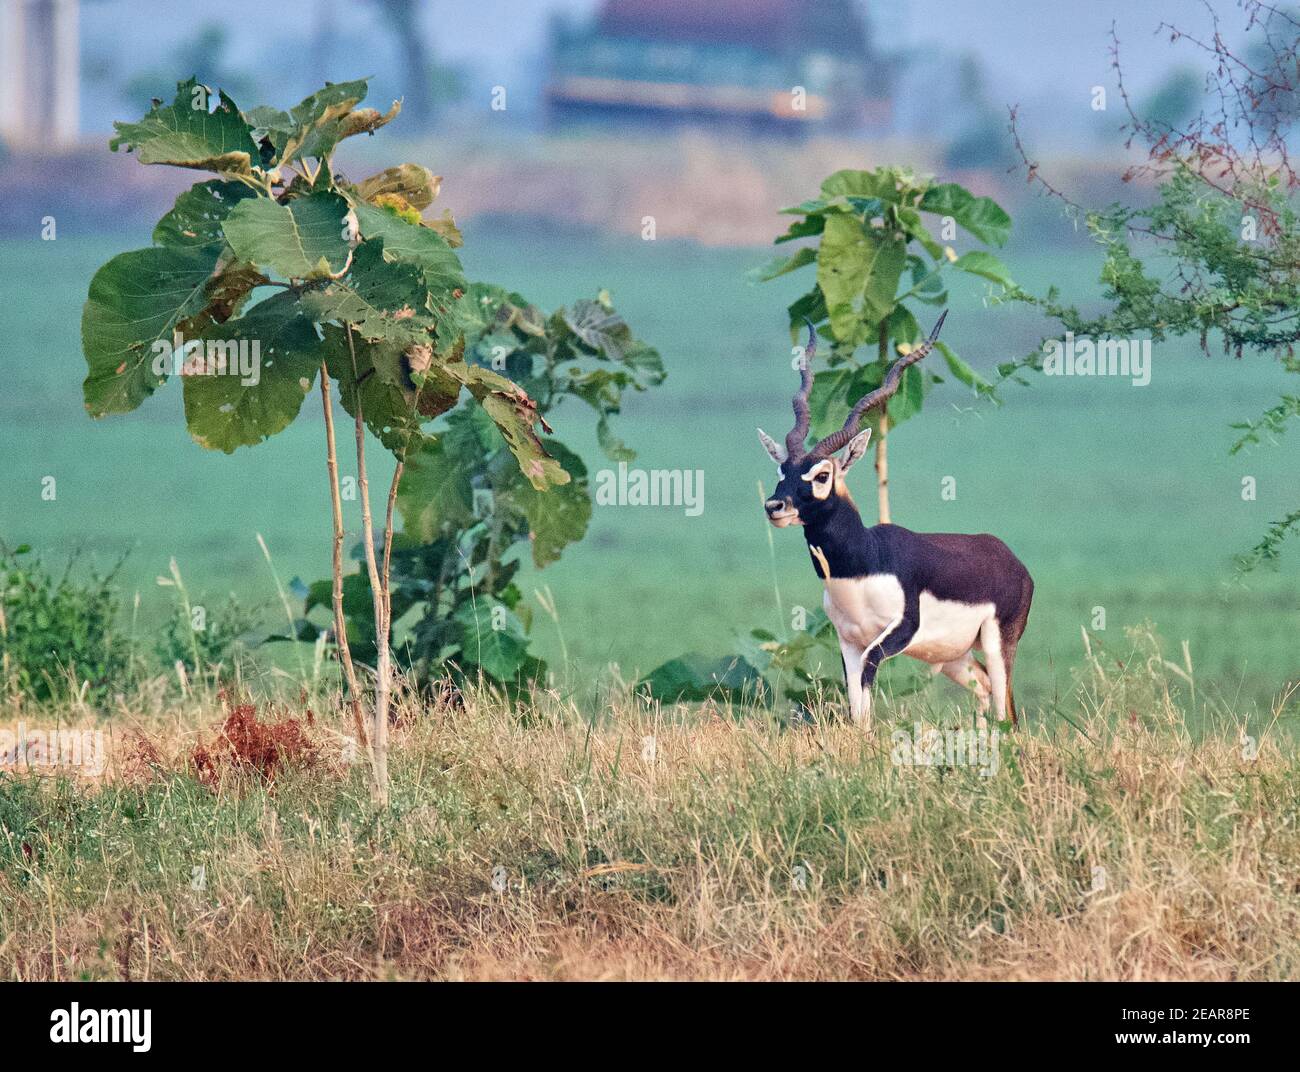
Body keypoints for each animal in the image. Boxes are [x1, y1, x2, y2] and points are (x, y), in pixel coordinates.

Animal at [759, 309, 1029, 727]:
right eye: (782, 470)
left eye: (822, 475)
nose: (775, 506)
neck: (862, 565)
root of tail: (1009, 557)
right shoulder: (849, 641)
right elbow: (856, 704)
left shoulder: (896, 633)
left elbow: (868, 683)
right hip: (955, 655)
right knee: (985, 691)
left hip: (998, 643)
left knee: (1007, 712)